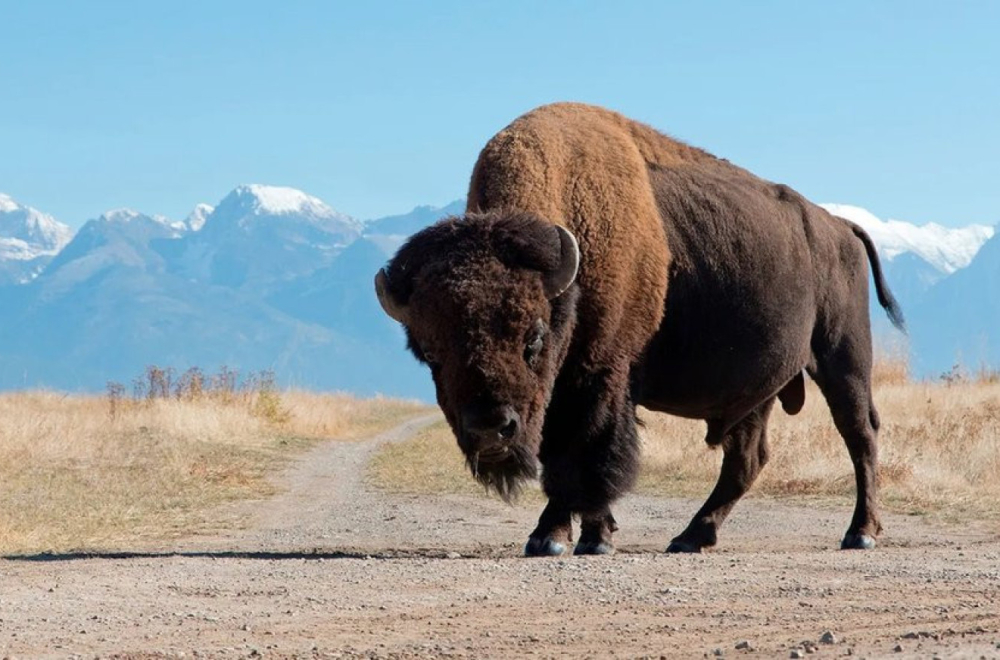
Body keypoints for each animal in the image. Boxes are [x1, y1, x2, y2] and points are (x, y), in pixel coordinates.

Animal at [376, 104, 908, 556]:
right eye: (430, 353)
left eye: (534, 337)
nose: (491, 429)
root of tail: (839, 225)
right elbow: (562, 456)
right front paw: (569, 535)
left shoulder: (599, 377)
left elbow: (585, 454)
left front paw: (575, 538)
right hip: (760, 389)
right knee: (747, 458)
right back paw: (692, 537)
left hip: (843, 359)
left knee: (860, 434)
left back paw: (859, 533)